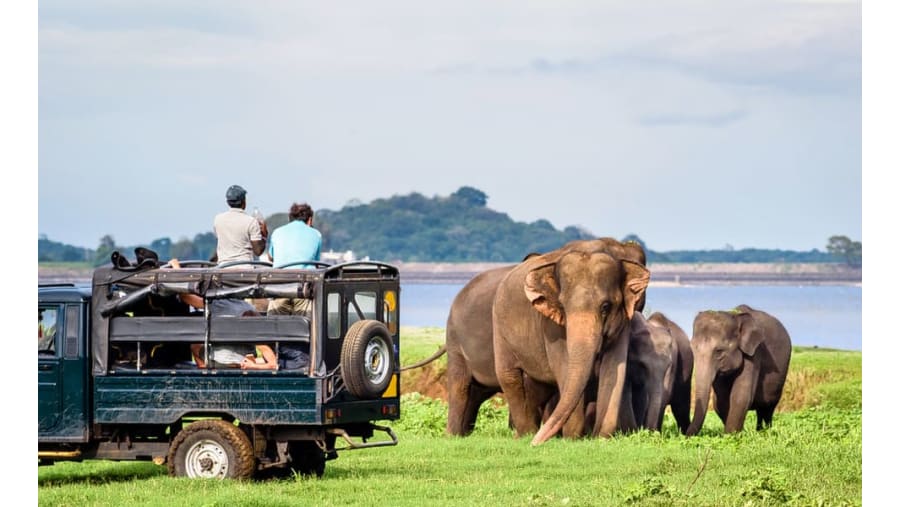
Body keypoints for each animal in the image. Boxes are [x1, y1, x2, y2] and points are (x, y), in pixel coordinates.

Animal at [493, 244, 650, 445]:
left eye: (605, 307)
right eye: (562, 306)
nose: (535, 444)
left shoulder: (623, 322)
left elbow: (614, 369)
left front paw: (600, 438)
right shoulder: (551, 326)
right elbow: (565, 368)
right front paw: (573, 439)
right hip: (500, 329)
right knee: (509, 376)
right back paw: (526, 434)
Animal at [686, 304, 792, 436]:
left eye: (719, 351)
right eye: (692, 348)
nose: (684, 435)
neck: (735, 316)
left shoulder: (754, 352)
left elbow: (740, 395)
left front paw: (731, 435)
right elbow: (720, 401)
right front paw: (735, 433)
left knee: (767, 408)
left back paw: (765, 431)